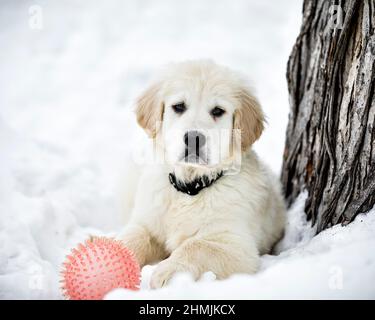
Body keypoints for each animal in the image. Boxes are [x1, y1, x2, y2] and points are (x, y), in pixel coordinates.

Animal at [119, 59, 286, 288]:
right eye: (179, 107)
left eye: (217, 111)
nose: (193, 139)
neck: (190, 187)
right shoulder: (146, 223)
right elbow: (131, 237)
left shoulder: (238, 246)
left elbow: (198, 246)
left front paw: (169, 271)